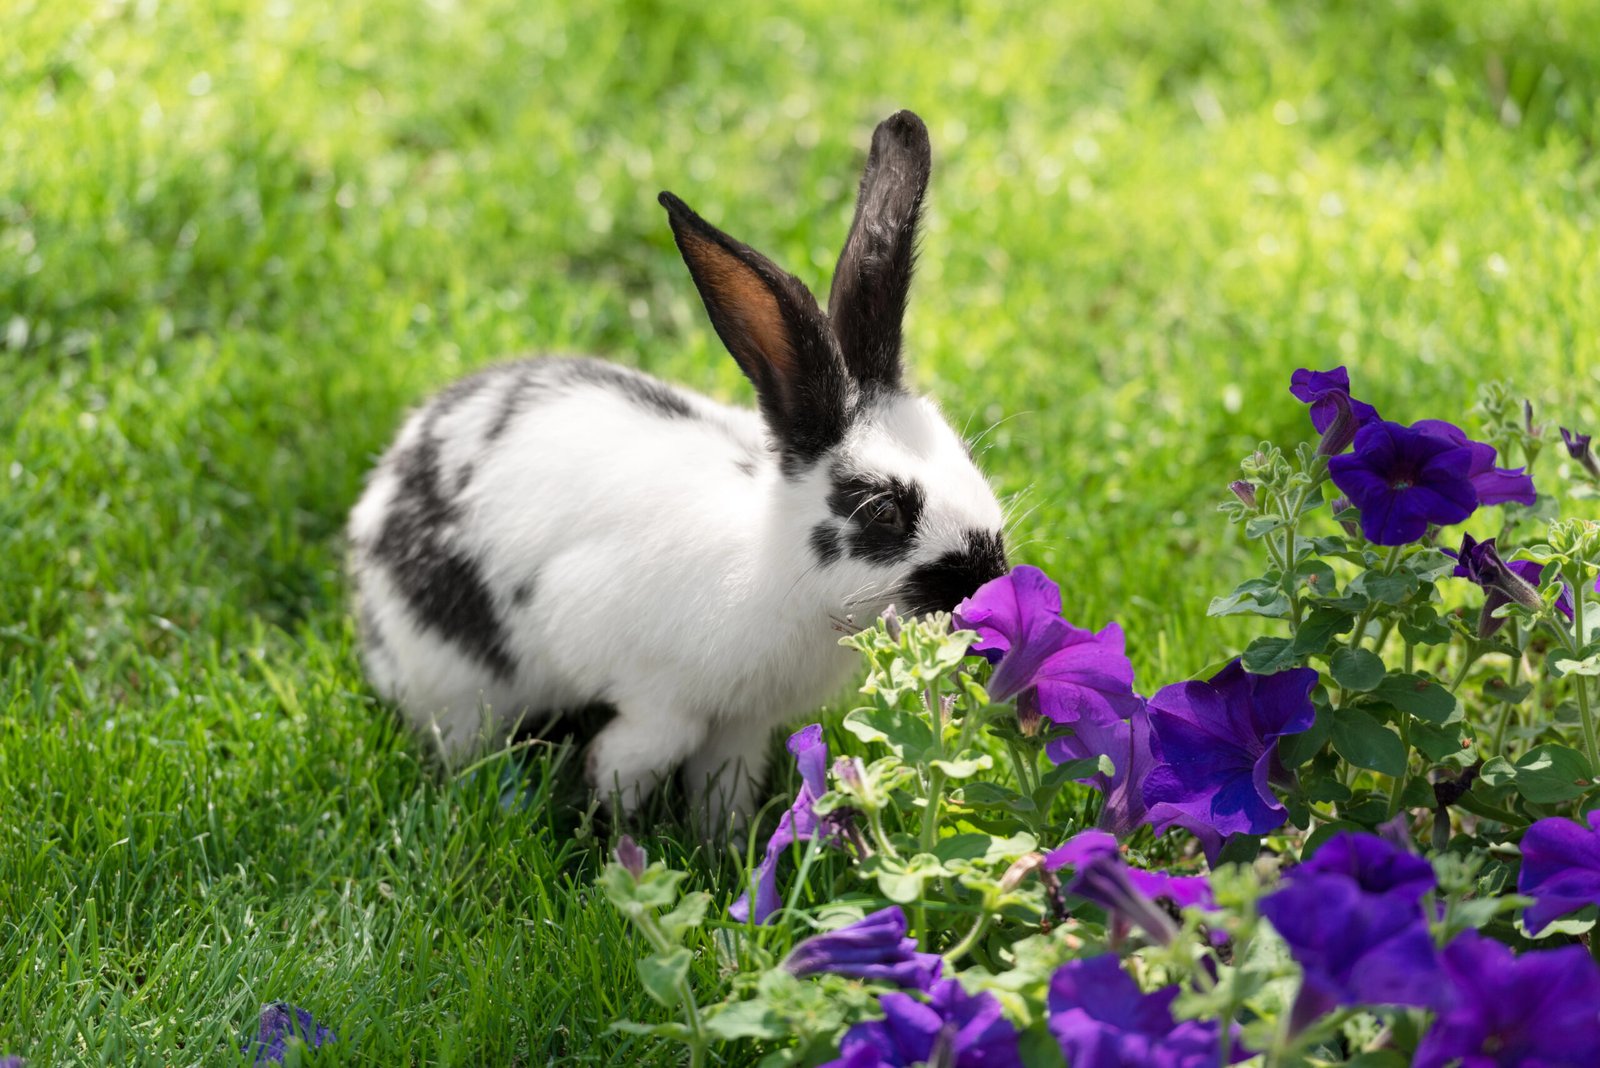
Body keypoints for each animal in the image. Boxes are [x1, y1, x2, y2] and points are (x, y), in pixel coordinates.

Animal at [346, 110, 1008, 827]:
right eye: (883, 509)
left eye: (966, 458)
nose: (987, 577)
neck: (776, 567)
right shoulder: (648, 684)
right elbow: (643, 752)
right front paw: (606, 826)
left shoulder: (744, 724)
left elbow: (725, 784)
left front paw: (726, 843)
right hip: (459, 683)